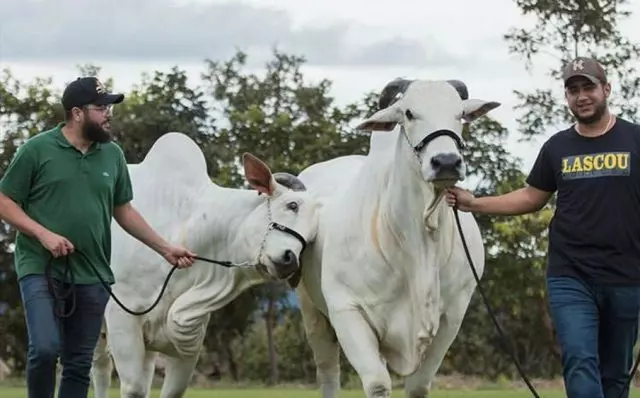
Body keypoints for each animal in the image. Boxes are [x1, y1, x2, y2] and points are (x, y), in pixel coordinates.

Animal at [90, 133, 320, 398]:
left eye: (312, 236)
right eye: (292, 205)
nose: (289, 259)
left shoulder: (190, 331)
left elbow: (172, 390)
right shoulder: (122, 317)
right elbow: (134, 388)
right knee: (100, 370)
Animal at [296, 78, 500, 398]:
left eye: (460, 114)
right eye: (408, 113)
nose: (446, 162)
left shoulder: (451, 318)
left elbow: (417, 386)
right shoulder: (347, 310)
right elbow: (378, 384)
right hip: (312, 312)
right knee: (328, 373)